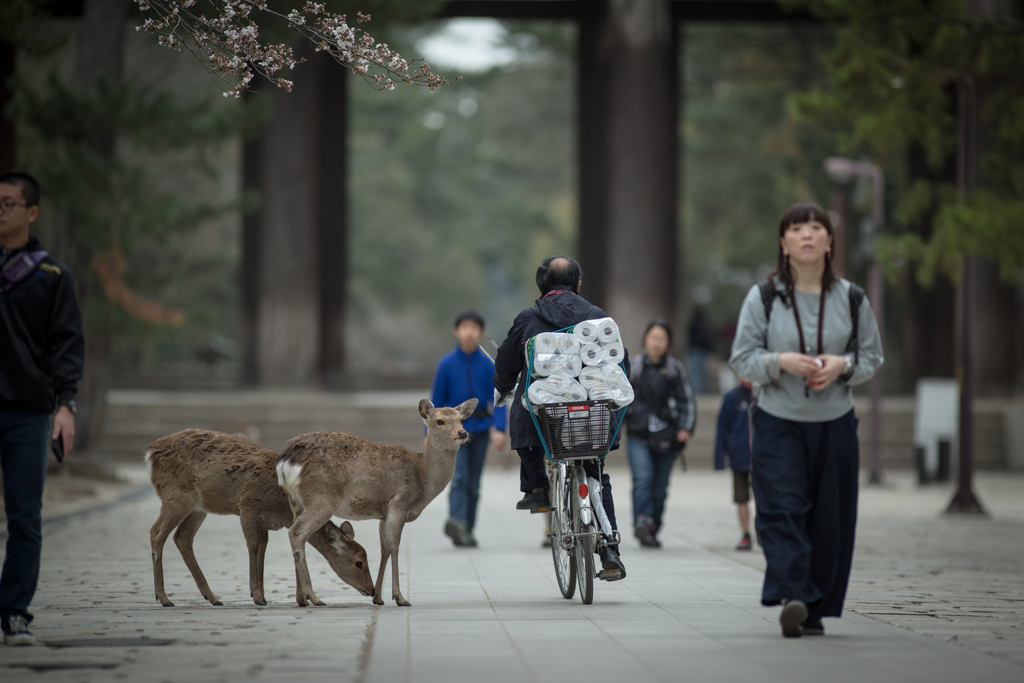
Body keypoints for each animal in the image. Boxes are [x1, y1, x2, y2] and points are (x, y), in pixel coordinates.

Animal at [148, 430, 376, 606]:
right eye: (359, 562)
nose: (372, 590)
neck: (281, 507)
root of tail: (151, 452)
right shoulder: (247, 508)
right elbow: (254, 547)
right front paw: (257, 596)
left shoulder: (265, 520)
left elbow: (264, 548)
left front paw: (286, 597)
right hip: (175, 495)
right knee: (157, 532)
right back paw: (164, 598)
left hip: (199, 506)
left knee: (182, 537)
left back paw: (212, 597)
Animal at [276, 397, 475, 606]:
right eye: (440, 421)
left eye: (462, 419)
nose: (462, 433)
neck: (422, 480)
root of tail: (286, 459)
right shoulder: (399, 503)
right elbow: (395, 546)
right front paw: (400, 597)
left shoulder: (383, 513)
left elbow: (384, 549)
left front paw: (378, 597)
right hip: (321, 499)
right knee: (297, 532)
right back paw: (315, 597)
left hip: (296, 501)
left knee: (297, 533)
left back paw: (301, 598)